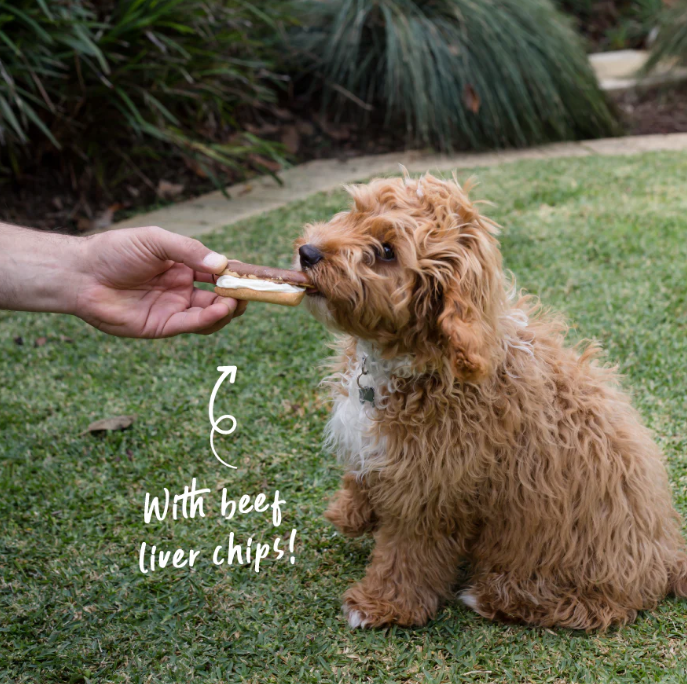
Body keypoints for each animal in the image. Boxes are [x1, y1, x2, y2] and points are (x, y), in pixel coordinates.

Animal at [296, 171, 687, 632]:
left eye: (387, 251)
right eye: (356, 212)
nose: (307, 252)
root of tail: (667, 551)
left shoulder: (432, 489)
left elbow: (407, 555)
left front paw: (381, 605)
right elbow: (360, 474)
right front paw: (351, 511)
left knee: (596, 607)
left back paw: (490, 597)